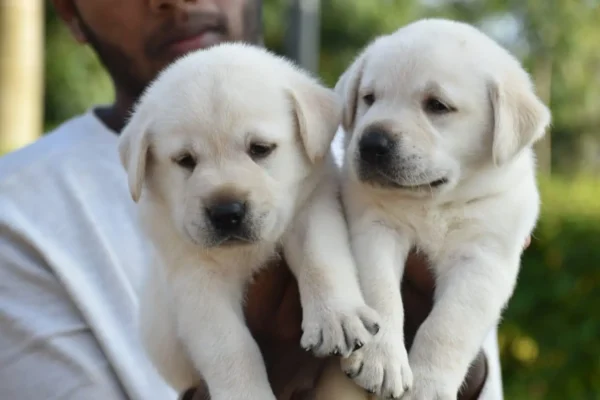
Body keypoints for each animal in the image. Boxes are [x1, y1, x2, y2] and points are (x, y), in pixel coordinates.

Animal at [117, 43, 380, 400]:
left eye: (260, 149)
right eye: (185, 160)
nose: (226, 212)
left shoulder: (312, 203)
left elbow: (321, 260)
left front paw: (335, 316)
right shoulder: (194, 275)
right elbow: (229, 345)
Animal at [330, 18, 552, 400]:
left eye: (437, 105)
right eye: (369, 98)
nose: (371, 143)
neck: (435, 201)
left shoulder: (483, 259)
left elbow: (448, 326)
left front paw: (428, 387)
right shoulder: (374, 228)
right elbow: (381, 294)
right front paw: (380, 359)